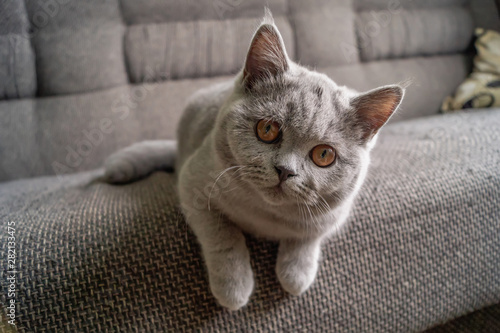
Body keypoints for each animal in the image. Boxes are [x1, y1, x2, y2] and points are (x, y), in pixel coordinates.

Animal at [103, 12, 404, 308]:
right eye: (267, 129)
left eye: (323, 155)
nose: (285, 170)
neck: (265, 216)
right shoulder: (193, 184)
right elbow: (222, 234)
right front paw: (233, 287)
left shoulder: (334, 214)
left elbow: (308, 236)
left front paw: (296, 274)